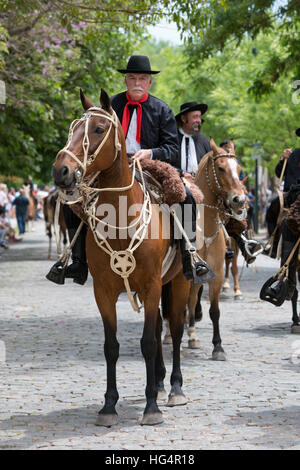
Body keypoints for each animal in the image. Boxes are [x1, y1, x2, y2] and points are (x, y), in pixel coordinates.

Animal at [51, 88, 191, 426]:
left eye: (99, 129)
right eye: (73, 128)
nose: (61, 171)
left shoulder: (152, 286)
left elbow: (149, 343)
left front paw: (151, 408)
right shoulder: (104, 292)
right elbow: (111, 346)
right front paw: (108, 406)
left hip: (179, 283)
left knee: (175, 332)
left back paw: (174, 389)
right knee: (159, 327)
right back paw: (157, 383)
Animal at [185, 142, 246, 356]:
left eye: (239, 169)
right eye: (220, 168)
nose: (239, 200)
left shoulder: (217, 273)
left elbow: (214, 311)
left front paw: (218, 346)